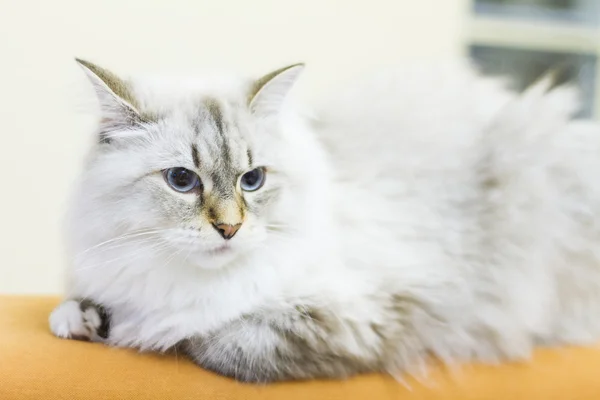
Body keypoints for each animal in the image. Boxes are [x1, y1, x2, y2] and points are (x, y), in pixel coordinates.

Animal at [49, 58, 600, 382]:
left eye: (253, 180)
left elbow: (211, 339)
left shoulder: (367, 315)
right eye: (182, 180)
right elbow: (72, 309)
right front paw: (85, 321)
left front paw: (136, 331)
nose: (229, 229)